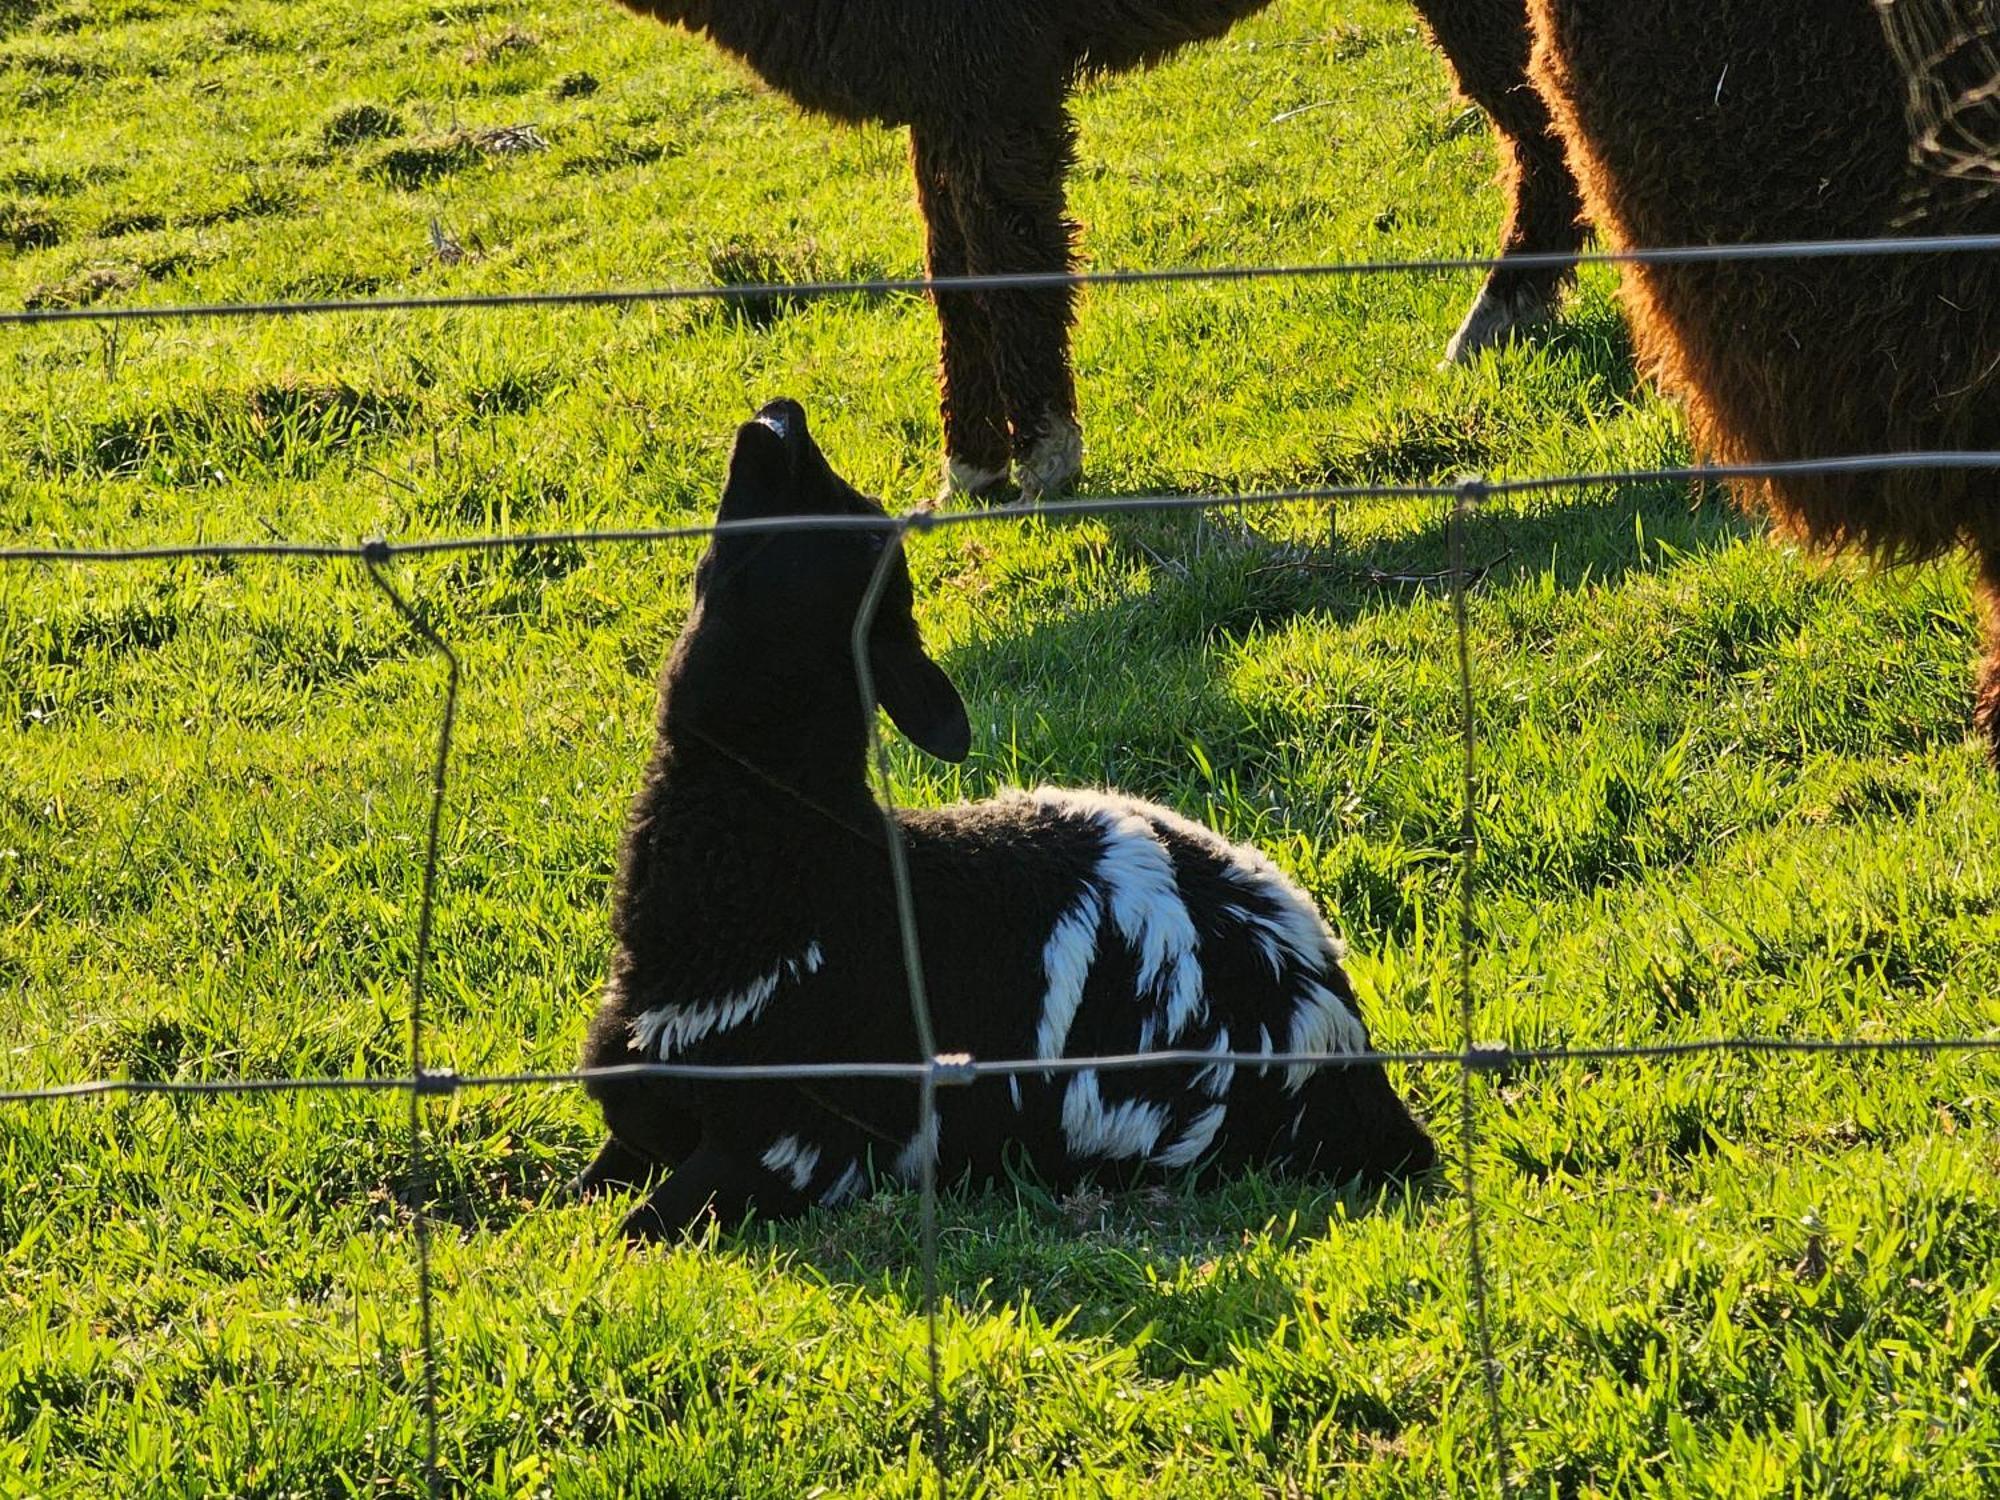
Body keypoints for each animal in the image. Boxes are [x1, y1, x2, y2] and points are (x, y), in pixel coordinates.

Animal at [580, 394, 1440, 1240]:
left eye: (862, 527)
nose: (784, 416)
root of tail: (1349, 1046)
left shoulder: (787, 1147)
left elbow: (634, 1229)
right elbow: (592, 1185)